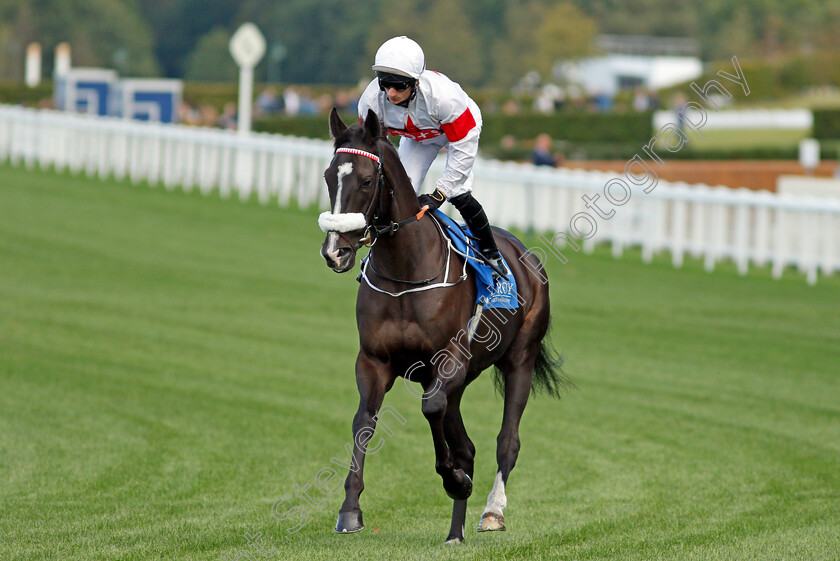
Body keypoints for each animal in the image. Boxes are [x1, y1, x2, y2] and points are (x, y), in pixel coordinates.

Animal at [318, 108, 568, 544]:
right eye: (330, 176)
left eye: (366, 180)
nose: (336, 251)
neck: (406, 271)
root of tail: (524, 254)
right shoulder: (374, 360)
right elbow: (364, 422)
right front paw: (349, 511)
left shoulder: (448, 359)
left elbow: (432, 410)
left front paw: (454, 480)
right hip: (462, 379)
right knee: (465, 443)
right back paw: (456, 530)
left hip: (519, 357)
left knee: (507, 441)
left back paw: (491, 512)